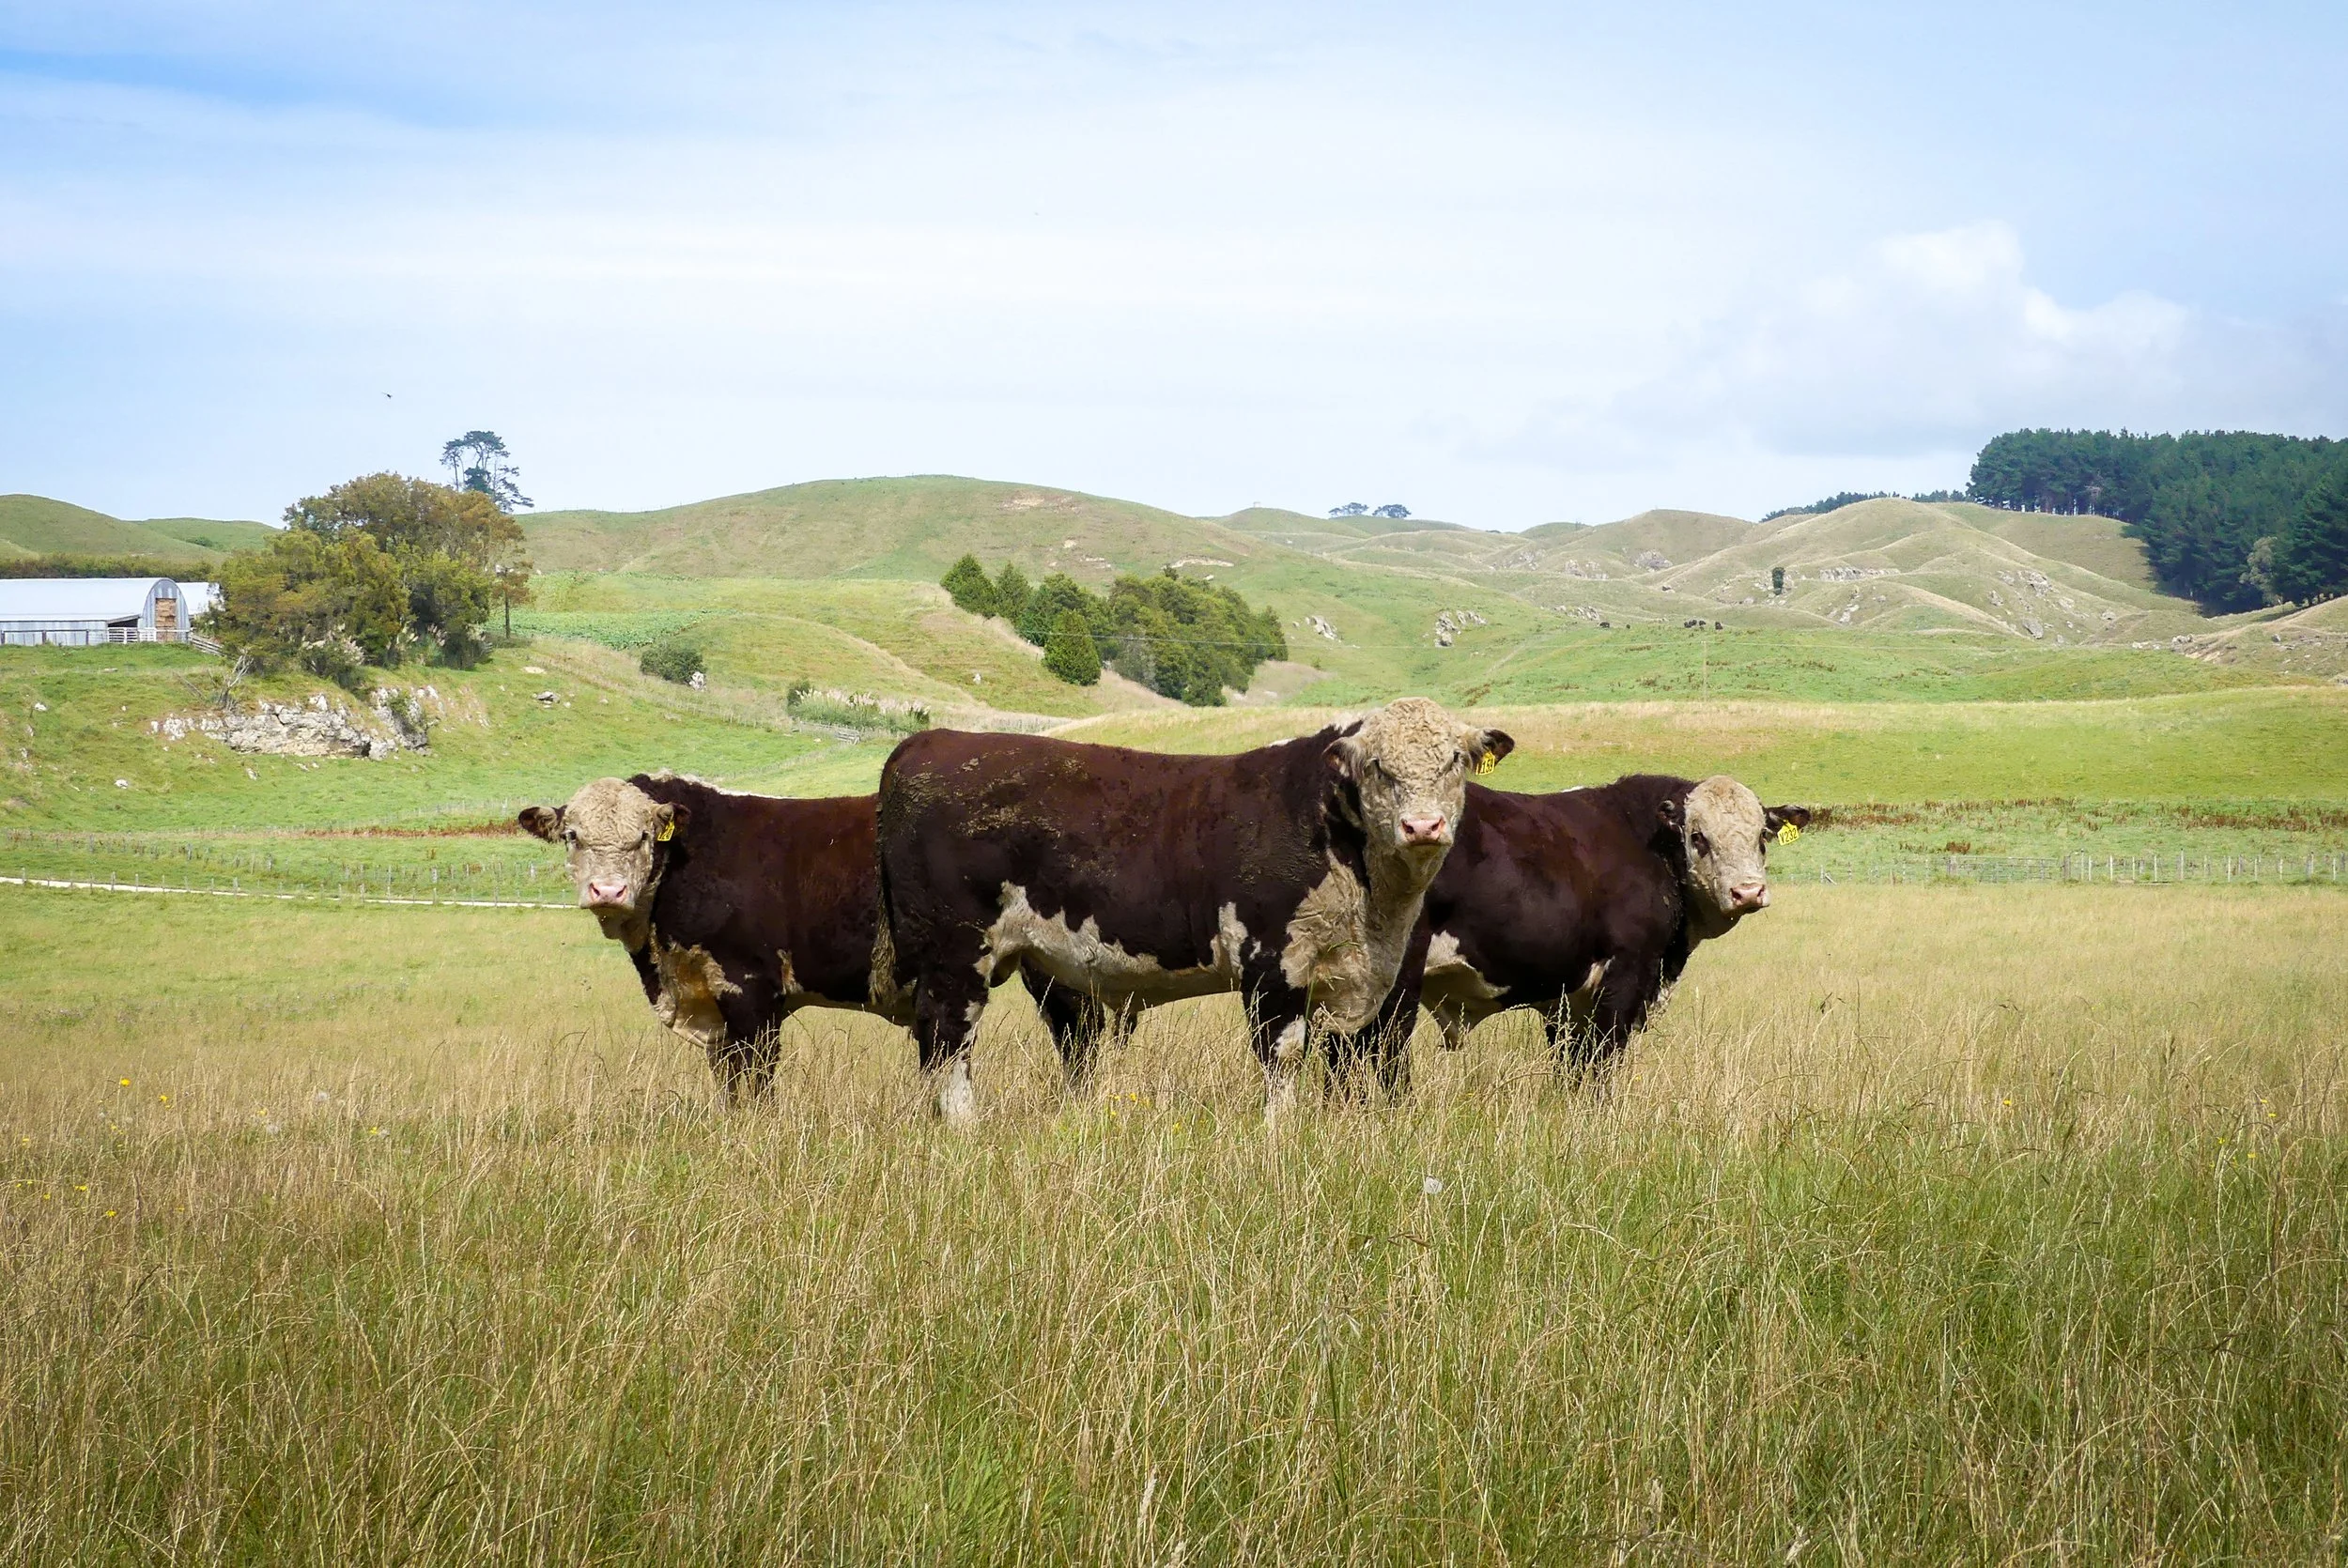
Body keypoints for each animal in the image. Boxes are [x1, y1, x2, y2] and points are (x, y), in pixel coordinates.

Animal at [518, 773, 908, 1100]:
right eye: (572, 836)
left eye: (643, 836)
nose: (609, 891)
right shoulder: (714, 1012)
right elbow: (727, 1081)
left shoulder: (749, 990)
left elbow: (757, 1078)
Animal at [874, 698, 1513, 1122]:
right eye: (1378, 766)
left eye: (1455, 761)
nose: (1423, 826)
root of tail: (928, 743)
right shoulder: (1272, 961)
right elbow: (1283, 1055)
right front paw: (1279, 1135)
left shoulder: (1354, 978)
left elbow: (1350, 1057)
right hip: (955, 953)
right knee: (948, 1039)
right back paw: (965, 1129)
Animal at [1391, 772, 1809, 1091]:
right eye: (1698, 837)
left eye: (1762, 836)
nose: (1748, 891)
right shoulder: (1625, 975)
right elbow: (1602, 1061)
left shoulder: (1568, 998)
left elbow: (1571, 1065)